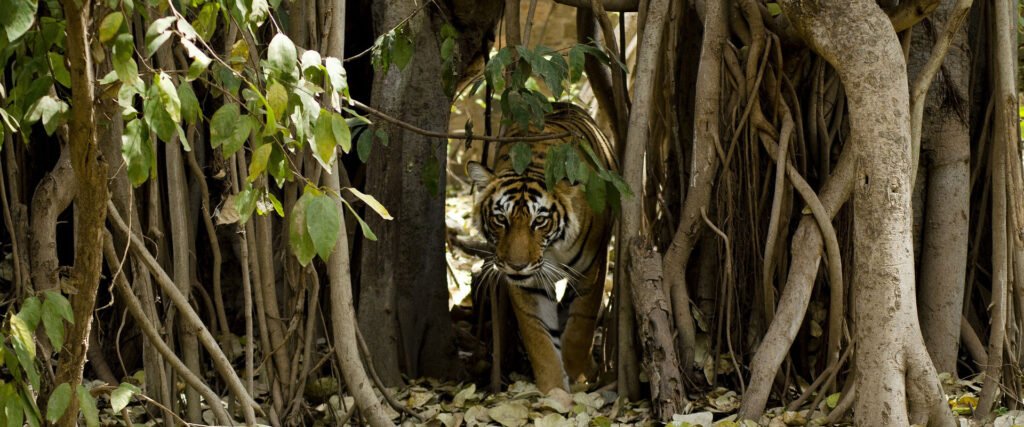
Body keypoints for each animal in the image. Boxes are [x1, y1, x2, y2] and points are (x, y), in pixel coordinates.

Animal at [466, 102, 615, 393]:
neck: (551, 252)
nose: (516, 265)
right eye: (501, 219)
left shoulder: (592, 270)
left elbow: (580, 326)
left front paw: (576, 375)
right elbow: (540, 339)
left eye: (540, 221)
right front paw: (554, 391)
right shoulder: (528, 286)